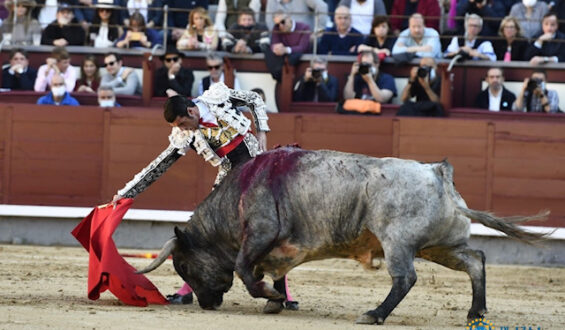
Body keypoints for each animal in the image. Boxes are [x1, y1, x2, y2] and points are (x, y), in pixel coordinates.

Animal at [137, 147, 548, 324]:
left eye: (184, 266)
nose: (207, 305)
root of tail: (439, 173)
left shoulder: (261, 232)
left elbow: (245, 269)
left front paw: (271, 297)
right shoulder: (277, 246)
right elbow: (272, 270)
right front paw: (276, 301)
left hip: (399, 242)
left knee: (405, 278)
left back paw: (374, 314)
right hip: (440, 245)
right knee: (476, 260)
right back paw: (475, 311)